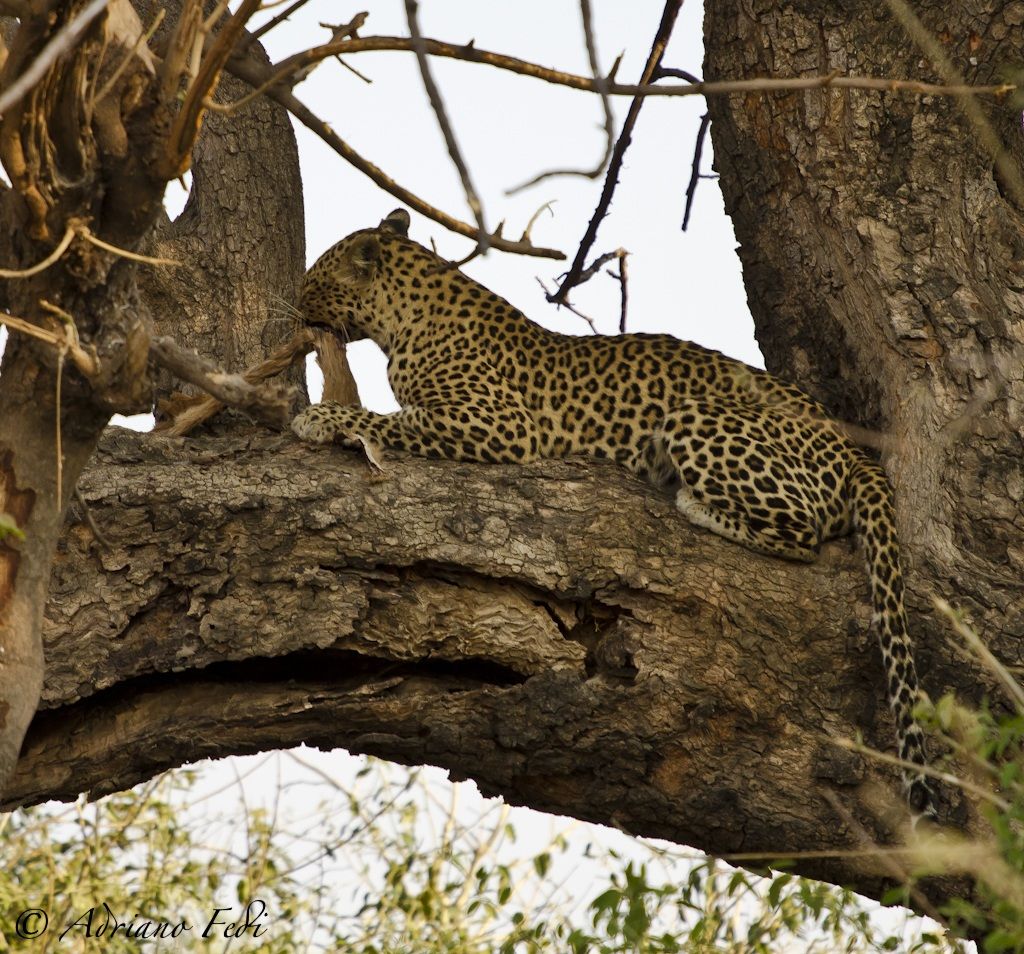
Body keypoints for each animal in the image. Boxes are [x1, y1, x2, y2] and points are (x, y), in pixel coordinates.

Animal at [292, 208, 935, 819]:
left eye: (314, 276)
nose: (295, 311)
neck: (404, 314)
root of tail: (853, 448)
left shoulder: (498, 423)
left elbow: (388, 420)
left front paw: (319, 419)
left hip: (697, 418)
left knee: (801, 532)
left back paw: (690, 499)